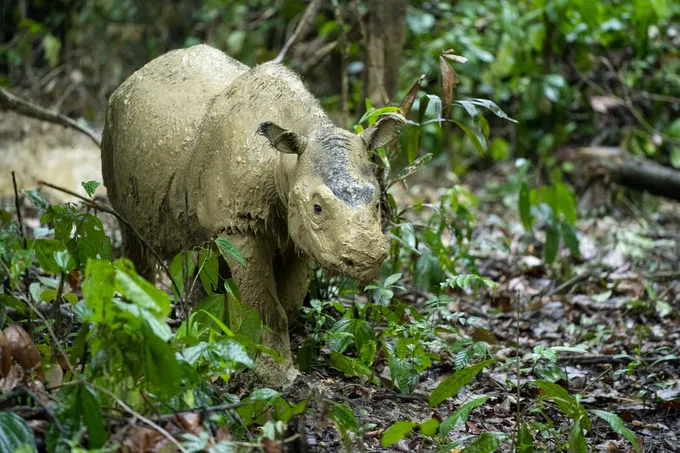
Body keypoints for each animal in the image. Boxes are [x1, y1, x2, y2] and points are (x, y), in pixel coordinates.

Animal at [101, 44, 403, 368]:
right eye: (317, 208)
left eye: (377, 202)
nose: (367, 259)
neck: (286, 164)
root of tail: (133, 77)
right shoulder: (240, 226)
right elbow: (265, 306)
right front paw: (276, 372)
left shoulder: (299, 235)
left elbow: (290, 301)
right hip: (113, 124)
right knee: (130, 232)